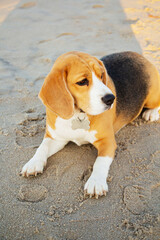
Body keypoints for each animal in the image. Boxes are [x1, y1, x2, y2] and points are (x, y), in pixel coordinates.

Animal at [20, 51, 159, 199]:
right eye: (82, 82)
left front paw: (96, 182)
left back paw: (152, 113)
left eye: (102, 75)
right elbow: (42, 148)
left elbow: (100, 162)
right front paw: (33, 163)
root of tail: (139, 55)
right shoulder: (55, 138)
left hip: (152, 97)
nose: (111, 99)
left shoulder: (107, 141)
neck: (78, 114)